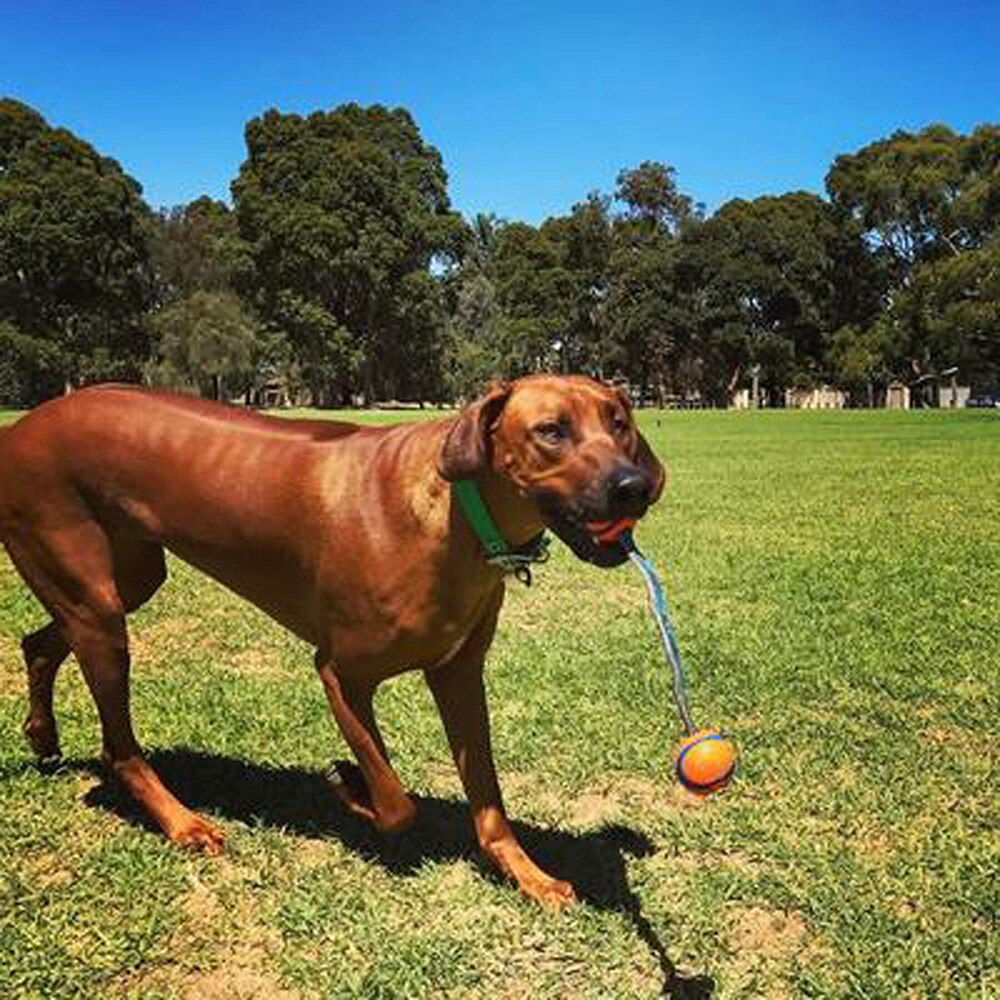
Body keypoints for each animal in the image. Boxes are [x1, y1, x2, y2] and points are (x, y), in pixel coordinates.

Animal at [0, 376, 664, 908]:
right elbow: (397, 802)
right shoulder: (341, 673)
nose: (633, 486)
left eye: (619, 423)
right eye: (551, 430)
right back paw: (182, 822)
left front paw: (528, 875)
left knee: (40, 643)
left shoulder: (458, 675)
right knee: (119, 745)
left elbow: (489, 802)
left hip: (128, 580)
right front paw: (351, 785)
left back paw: (44, 735)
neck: (460, 518)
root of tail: (24, 425)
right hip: (93, 598)